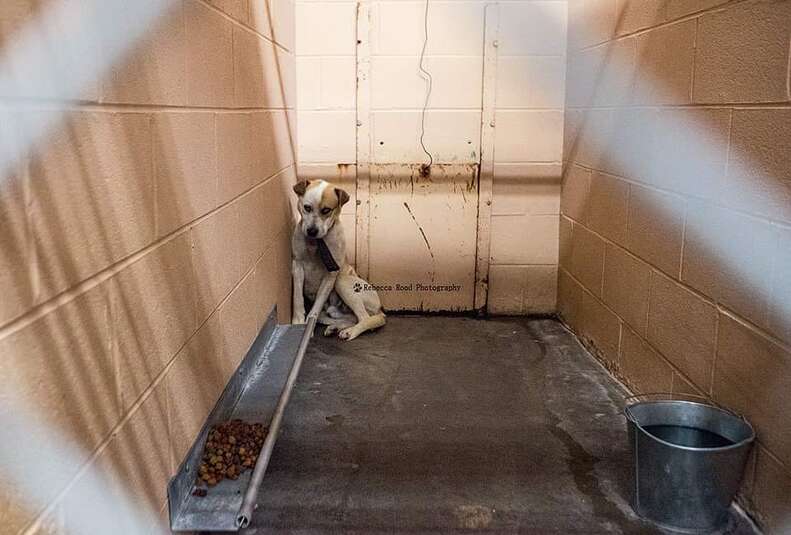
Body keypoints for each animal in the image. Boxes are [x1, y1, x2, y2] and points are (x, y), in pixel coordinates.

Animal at [294, 178, 386, 342]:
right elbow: (297, 298)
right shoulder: (297, 265)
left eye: (326, 210)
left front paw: (307, 330)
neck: (315, 244)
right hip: (334, 310)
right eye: (307, 207)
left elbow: (316, 306)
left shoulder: (331, 274)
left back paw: (350, 332)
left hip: (342, 282)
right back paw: (335, 327)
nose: (312, 231)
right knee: (350, 318)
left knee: (364, 318)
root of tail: (380, 309)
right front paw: (297, 323)